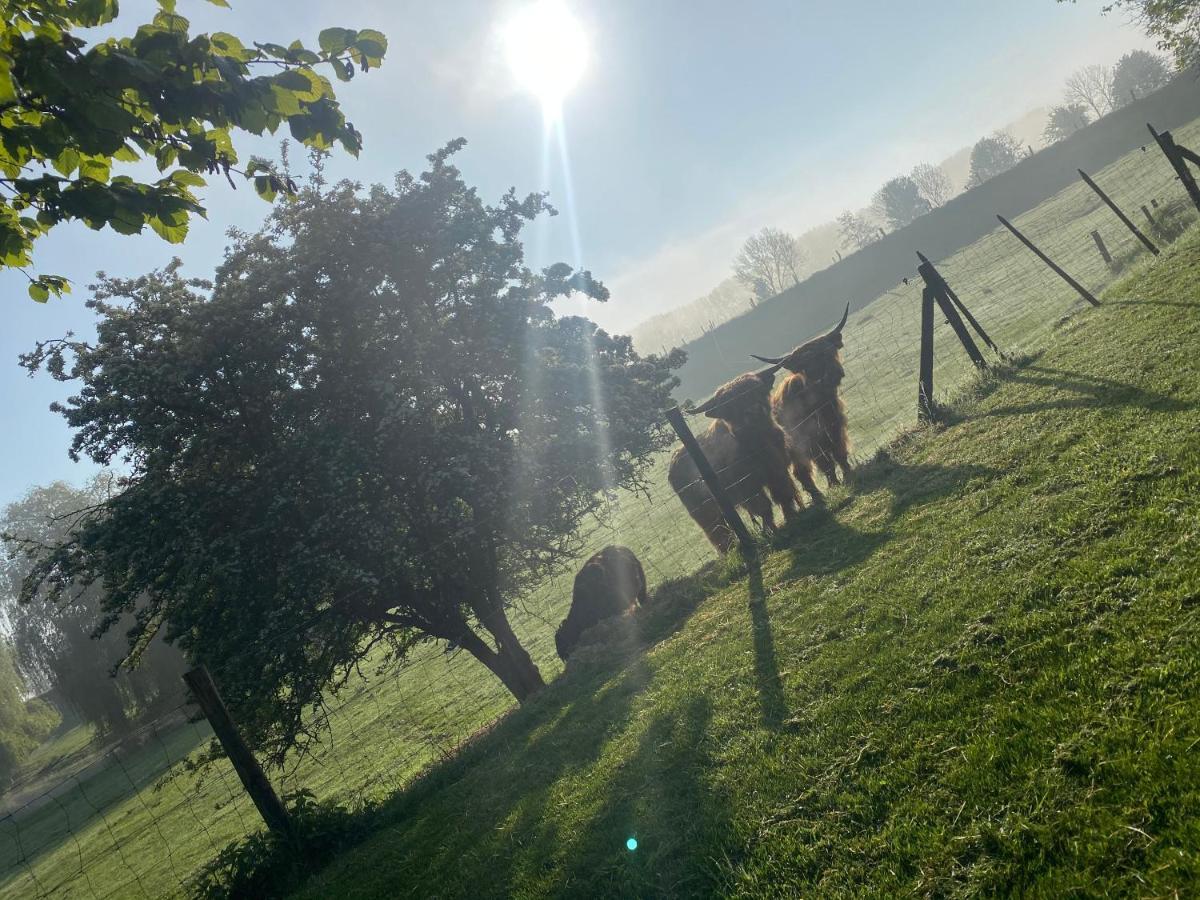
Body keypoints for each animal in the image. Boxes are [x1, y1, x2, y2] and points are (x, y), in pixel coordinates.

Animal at [667, 367, 806, 554]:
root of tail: (673, 463)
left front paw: (791, 518)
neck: (758, 443)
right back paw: (729, 551)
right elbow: (763, 507)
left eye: (757, 389)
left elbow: (783, 494)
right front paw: (772, 532)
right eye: (729, 405)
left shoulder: (777, 471)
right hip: (702, 510)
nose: (754, 410)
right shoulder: (746, 488)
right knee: (717, 531)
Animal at [748, 301, 854, 487]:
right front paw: (834, 484)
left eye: (830, 351)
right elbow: (825, 462)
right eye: (807, 364)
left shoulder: (835, 426)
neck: (819, 404)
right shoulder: (808, 440)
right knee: (802, 471)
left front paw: (848, 474)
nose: (833, 374)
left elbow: (839, 452)